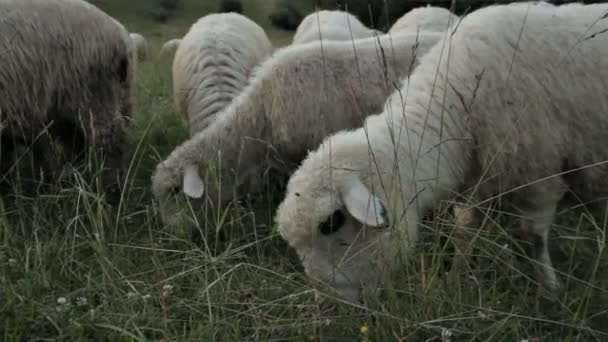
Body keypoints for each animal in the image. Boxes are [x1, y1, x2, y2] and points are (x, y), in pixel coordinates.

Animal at [274, 2, 608, 302]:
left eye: (331, 223)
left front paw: (550, 289)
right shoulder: (475, 180)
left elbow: (534, 236)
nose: (331, 302)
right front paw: (456, 278)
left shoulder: (540, 172)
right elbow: (464, 231)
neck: (458, 99)